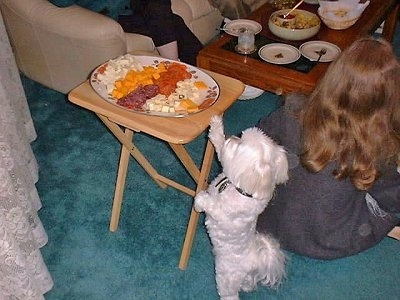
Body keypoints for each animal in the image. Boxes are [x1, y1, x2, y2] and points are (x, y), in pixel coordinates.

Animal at [195, 115, 290, 300]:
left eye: (240, 145)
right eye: (241, 136)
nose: (232, 137)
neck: (244, 190)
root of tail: (254, 260)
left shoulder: (223, 213)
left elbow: (211, 204)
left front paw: (199, 200)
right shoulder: (226, 163)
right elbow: (220, 147)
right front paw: (216, 126)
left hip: (226, 279)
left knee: (230, 294)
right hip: (244, 277)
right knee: (247, 283)